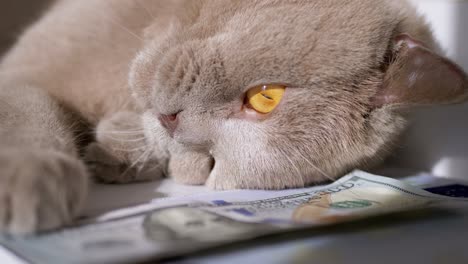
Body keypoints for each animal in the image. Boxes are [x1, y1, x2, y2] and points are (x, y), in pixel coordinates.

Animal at [0, 0, 468, 235]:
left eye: (210, 163)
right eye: (266, 97)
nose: (171, 121)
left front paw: (117, 150)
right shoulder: (24, 71)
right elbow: (28, 112)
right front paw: (30, 179)